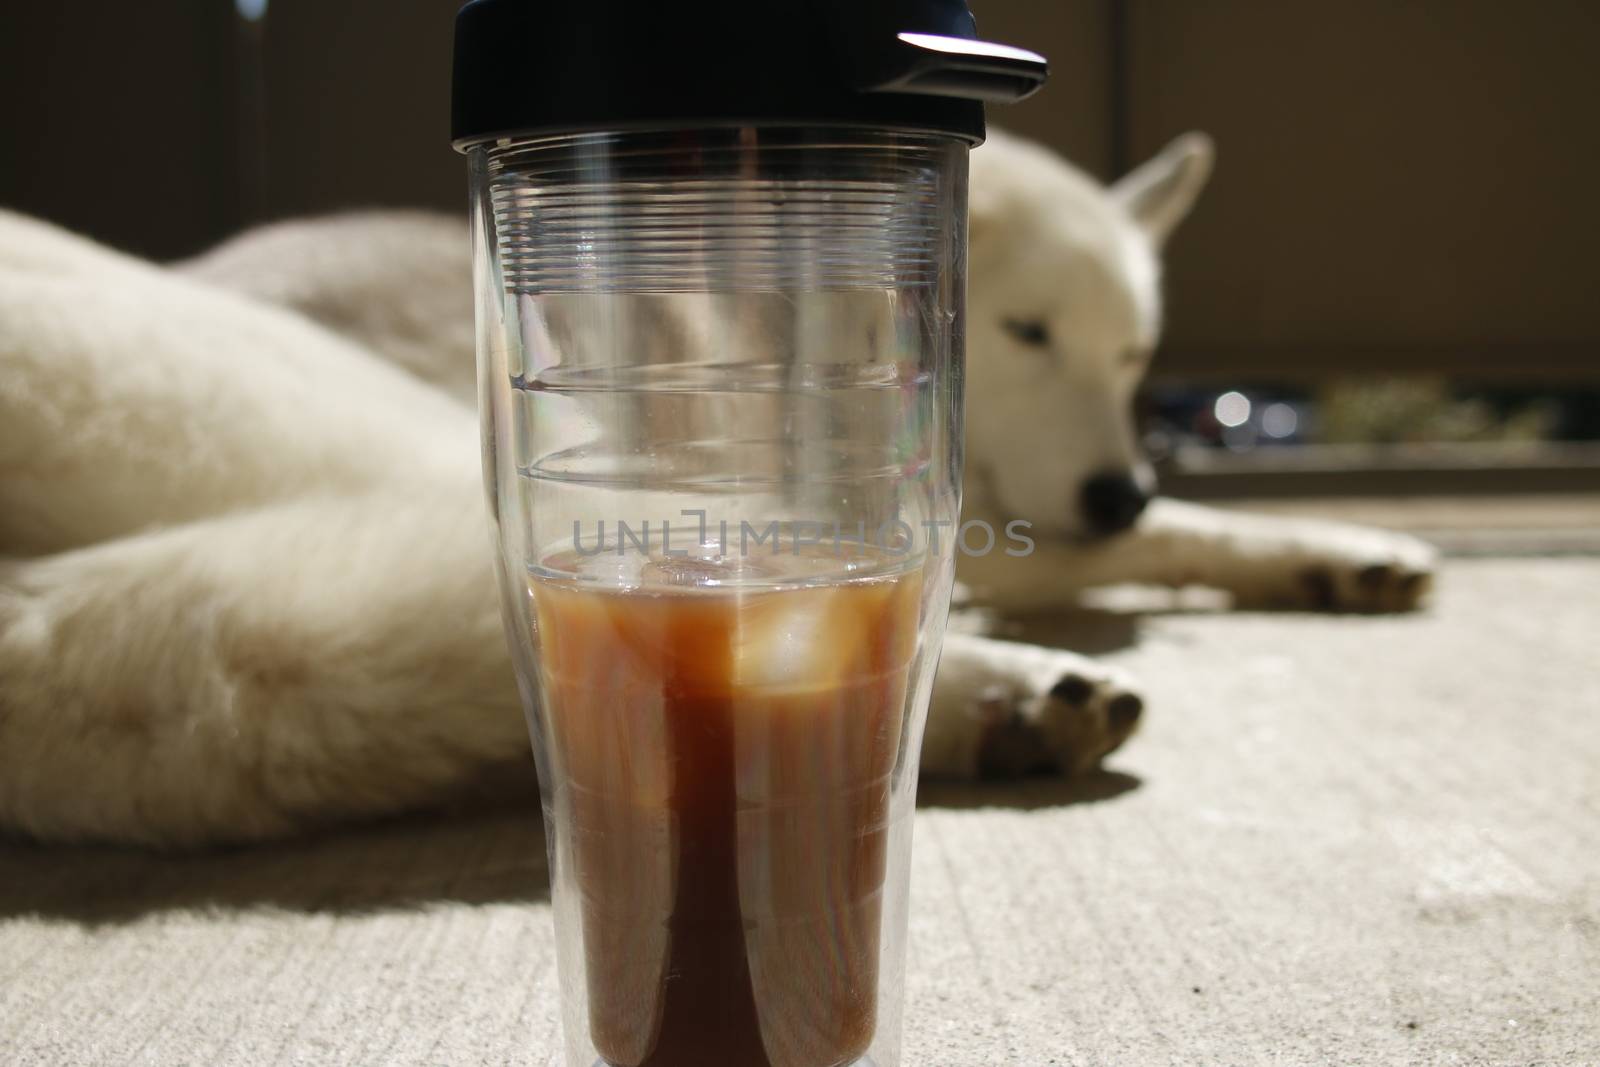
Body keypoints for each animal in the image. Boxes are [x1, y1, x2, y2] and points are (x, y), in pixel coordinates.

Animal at [0, 131, 1440, 844]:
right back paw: (997, 690)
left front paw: (1334, 550)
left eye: (1135, 351)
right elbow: (1140, 537)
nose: (1114, 488)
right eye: (1028, 333)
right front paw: (1309, 539)